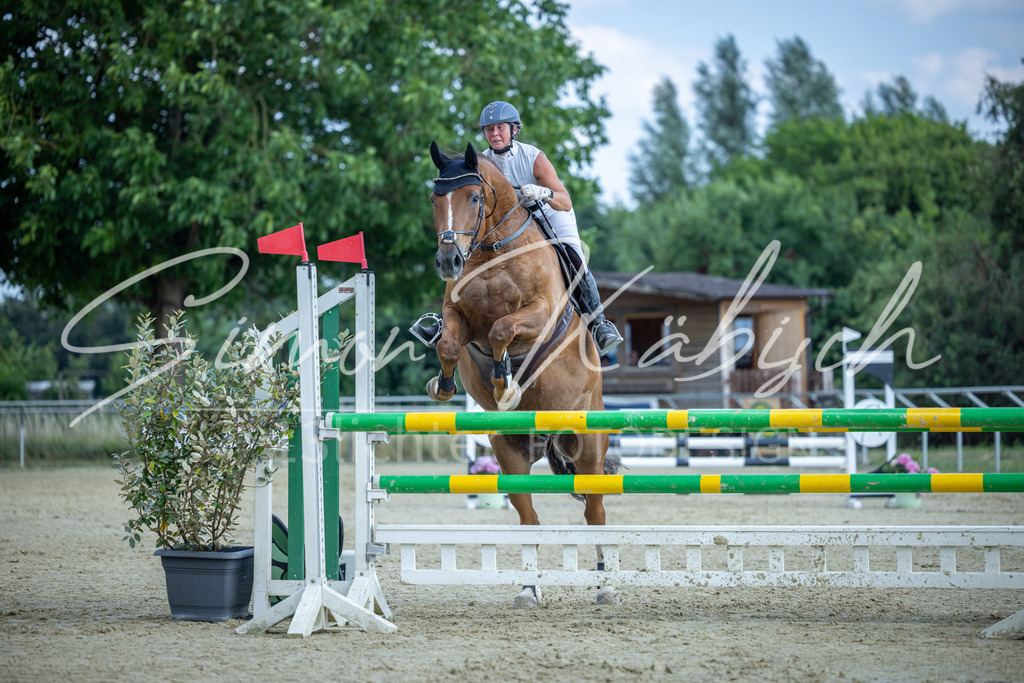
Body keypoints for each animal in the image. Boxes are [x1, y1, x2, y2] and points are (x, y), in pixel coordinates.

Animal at [425, 141, 619, 607]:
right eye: (435, 201)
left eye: (473, 198)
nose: (448, 260)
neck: (493, 252)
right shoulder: (458, 316)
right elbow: (449, 342)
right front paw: (445, 384)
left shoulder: (540, 314)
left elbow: (502, 329)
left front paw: (504, 384)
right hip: (510, 452)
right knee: (528, 515)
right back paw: (529, 588)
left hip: (587, 445)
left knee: (595, 511)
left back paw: (605, 586)